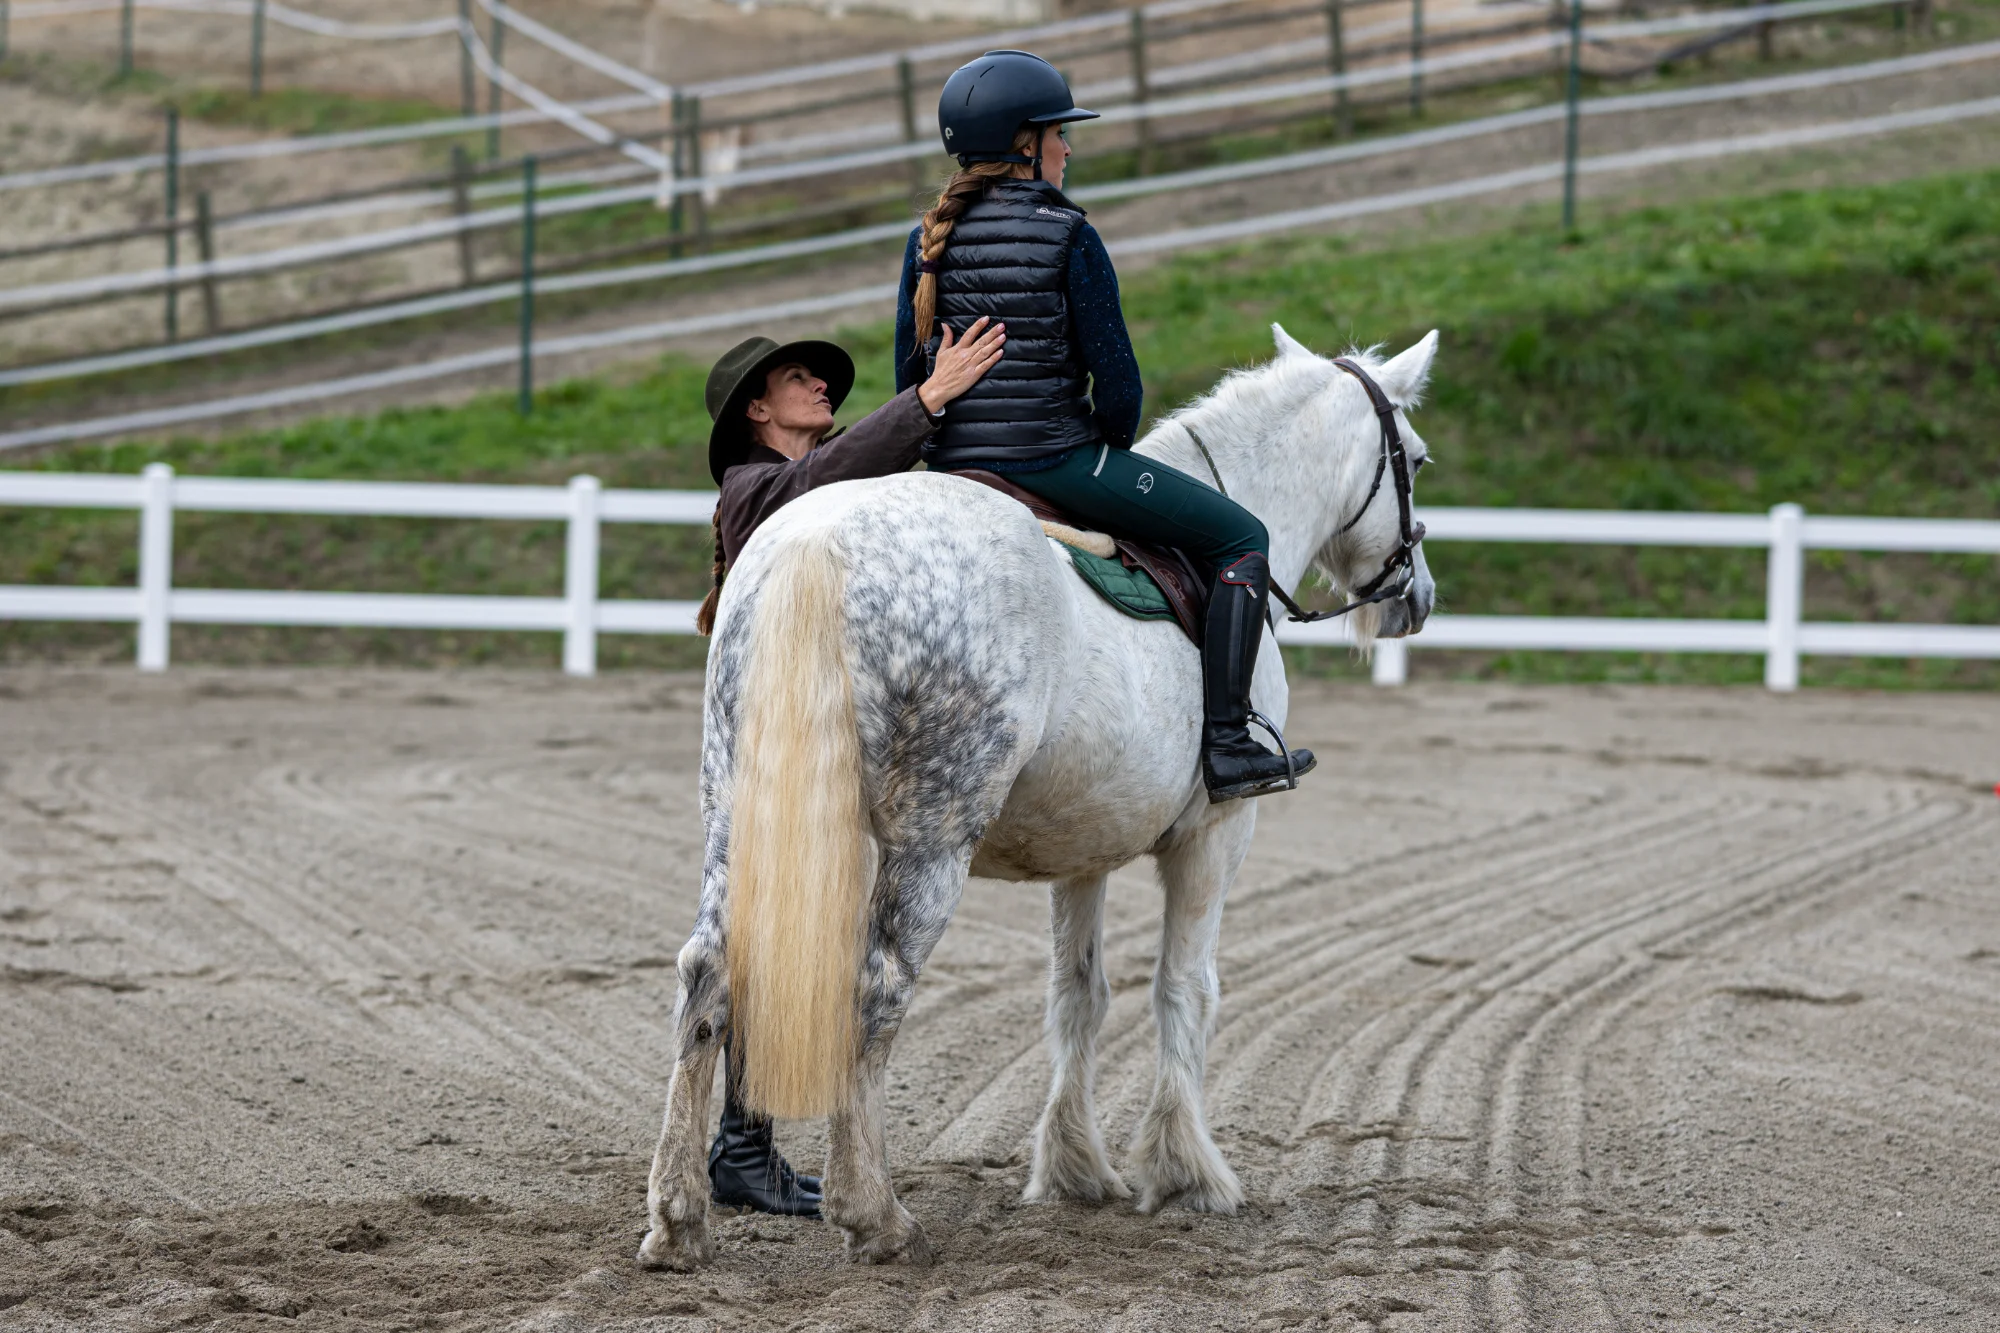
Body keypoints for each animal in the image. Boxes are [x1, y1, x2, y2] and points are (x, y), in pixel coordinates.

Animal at [639, 324, 1439, 1269]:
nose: (1417, 594)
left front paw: (1073, 1168)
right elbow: (1185, 988)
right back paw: (872, 1212)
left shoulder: (1081, 851)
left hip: (739, 818)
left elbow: (1078, 996)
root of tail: (819, 536)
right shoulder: (1216, 834)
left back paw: (679, 1217)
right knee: (876, 987)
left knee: (710, 975)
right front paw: (1186, 1172)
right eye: (1415, 458)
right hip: (930, 841)